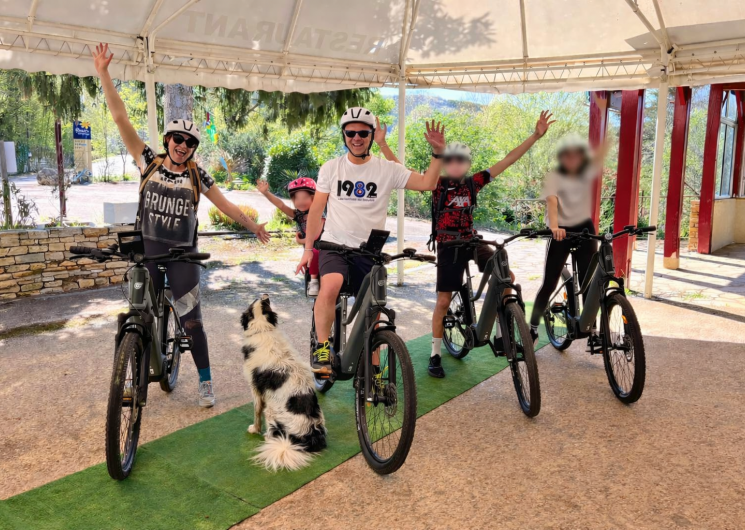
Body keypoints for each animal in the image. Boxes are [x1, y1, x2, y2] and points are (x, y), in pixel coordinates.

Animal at [240, 294, 327, 471]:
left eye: (254, 300)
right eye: (261, 301)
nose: (265, 294)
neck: (263, 327)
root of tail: (310, 434)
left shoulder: (255, 389)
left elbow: (256, 412)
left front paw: (254, 429)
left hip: (271, 412)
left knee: (273, 433)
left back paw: (267, 438)